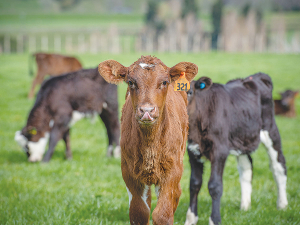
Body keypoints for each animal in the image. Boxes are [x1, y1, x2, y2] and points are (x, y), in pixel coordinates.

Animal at [97, 55, 198, 224]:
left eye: (164, 82)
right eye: (131, 82)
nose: (147, 110)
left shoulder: (172, 171)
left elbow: (163, 214)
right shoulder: (129, 172)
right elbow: (139, 212)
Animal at [184, 73, 288, 225]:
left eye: (190, 92)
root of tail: (255, 76)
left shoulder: (220, 150)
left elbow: (214, 186)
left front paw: (214, 220)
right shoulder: (192, 150)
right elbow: (194, 184)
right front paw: (190, 220)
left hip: (270, 130)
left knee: (278, 165)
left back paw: (282, 204)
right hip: (242, 137)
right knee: (246, 167)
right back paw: (245, 206)